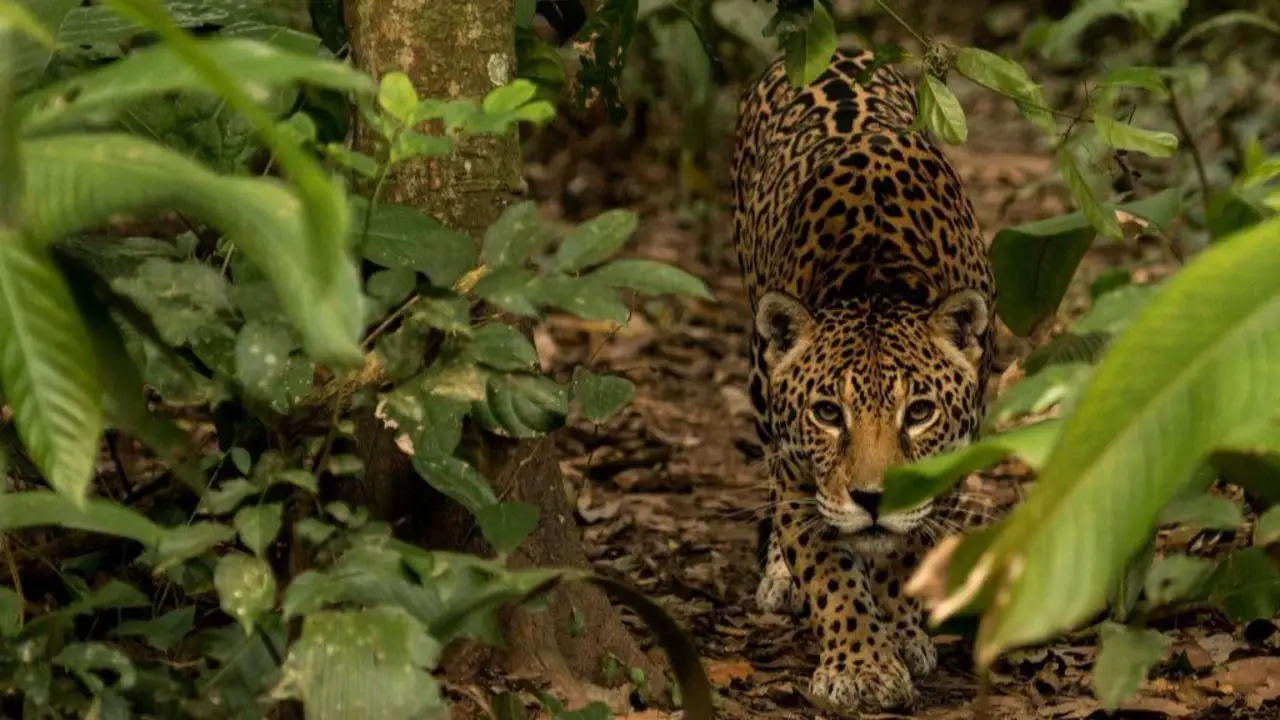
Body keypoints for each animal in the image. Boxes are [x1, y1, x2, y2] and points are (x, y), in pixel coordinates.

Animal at [731, 49, 998, 714]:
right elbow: (827, 567)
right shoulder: (799, 471)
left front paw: (900, 634)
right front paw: (862, 666)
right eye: (829, 413)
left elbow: (906, 552)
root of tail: (849, 48)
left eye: (919, 412)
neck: (878, 275)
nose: (874, 500)